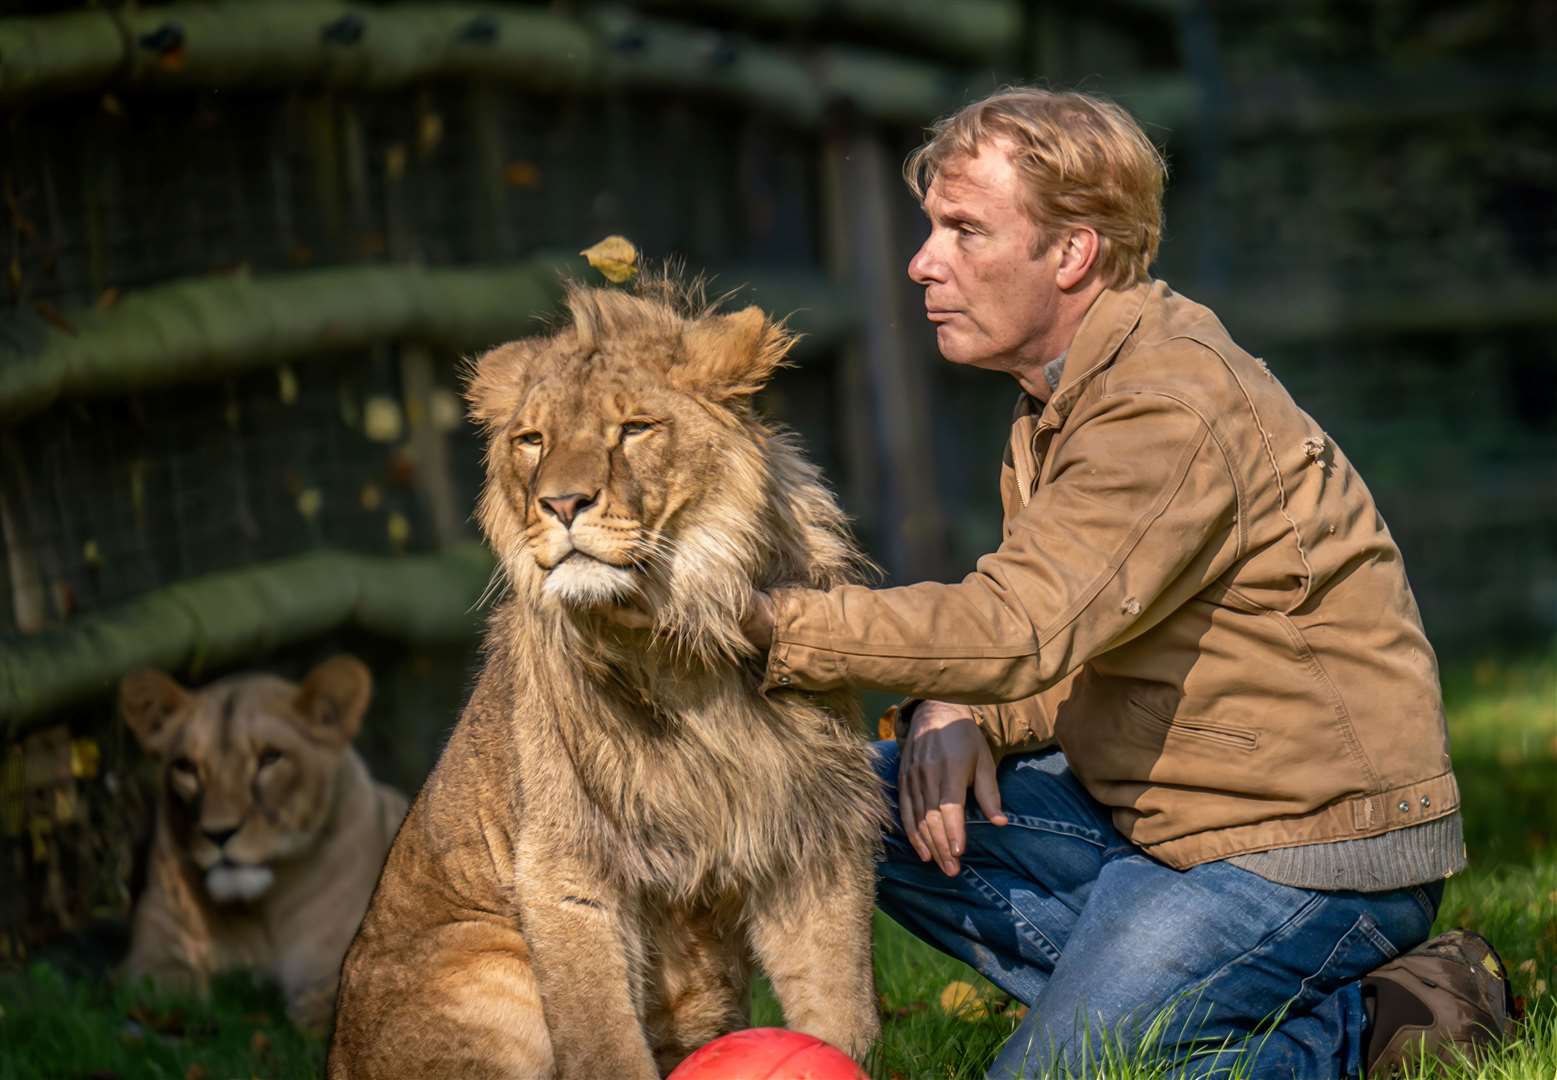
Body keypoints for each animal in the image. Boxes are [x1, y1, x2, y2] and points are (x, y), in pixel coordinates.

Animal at [119, 650, 407, 1033]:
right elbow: (167, 987)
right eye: (186, 767)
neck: (258, 913)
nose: (218, 833)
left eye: (270, 757)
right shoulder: (147, 955)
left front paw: (316, 1012)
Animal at [328, 278, 890, 1080]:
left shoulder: (811, 830)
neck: (680, 657)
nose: (561, 503)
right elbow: (602, 1039)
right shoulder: (565, 866)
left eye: (634, 429)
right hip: (489, 962)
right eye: (532, 442)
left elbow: (842, 1008)